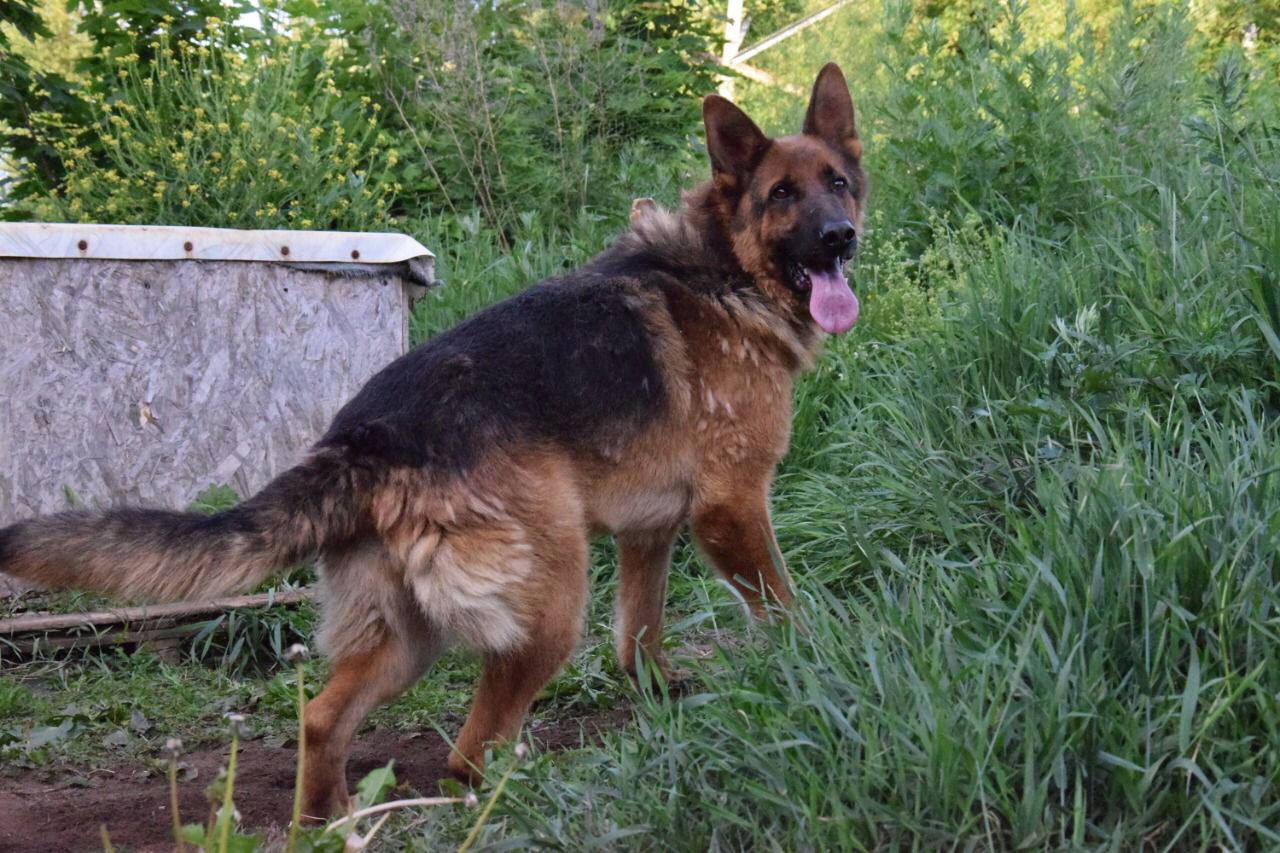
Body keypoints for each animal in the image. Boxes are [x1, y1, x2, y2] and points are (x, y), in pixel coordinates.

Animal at [0, 63, 866, 818]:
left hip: (406, 636)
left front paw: (661, 695)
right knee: (467, 755)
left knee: (322, 718)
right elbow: (783, 606)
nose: (839, 238)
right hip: (548, 606)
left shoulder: (650, 531)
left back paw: (332, 821)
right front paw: (815, 669)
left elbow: (639, 636)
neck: (724, 268)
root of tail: (366, 438)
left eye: (837, 181)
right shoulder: (731, 508)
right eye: (781, 194)